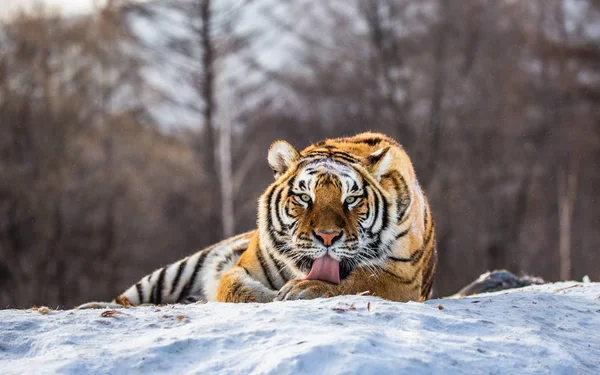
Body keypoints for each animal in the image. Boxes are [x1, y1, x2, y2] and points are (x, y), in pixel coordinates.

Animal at [78, 132, 436, 308]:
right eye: (304, 198)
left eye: (351, 200)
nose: (327, 237)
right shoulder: (242, 267)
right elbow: (232, 287)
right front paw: (276, 295)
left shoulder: (401, 278)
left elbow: (359, 282)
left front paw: (303, 290)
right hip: (178, 270)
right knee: (127, 298)